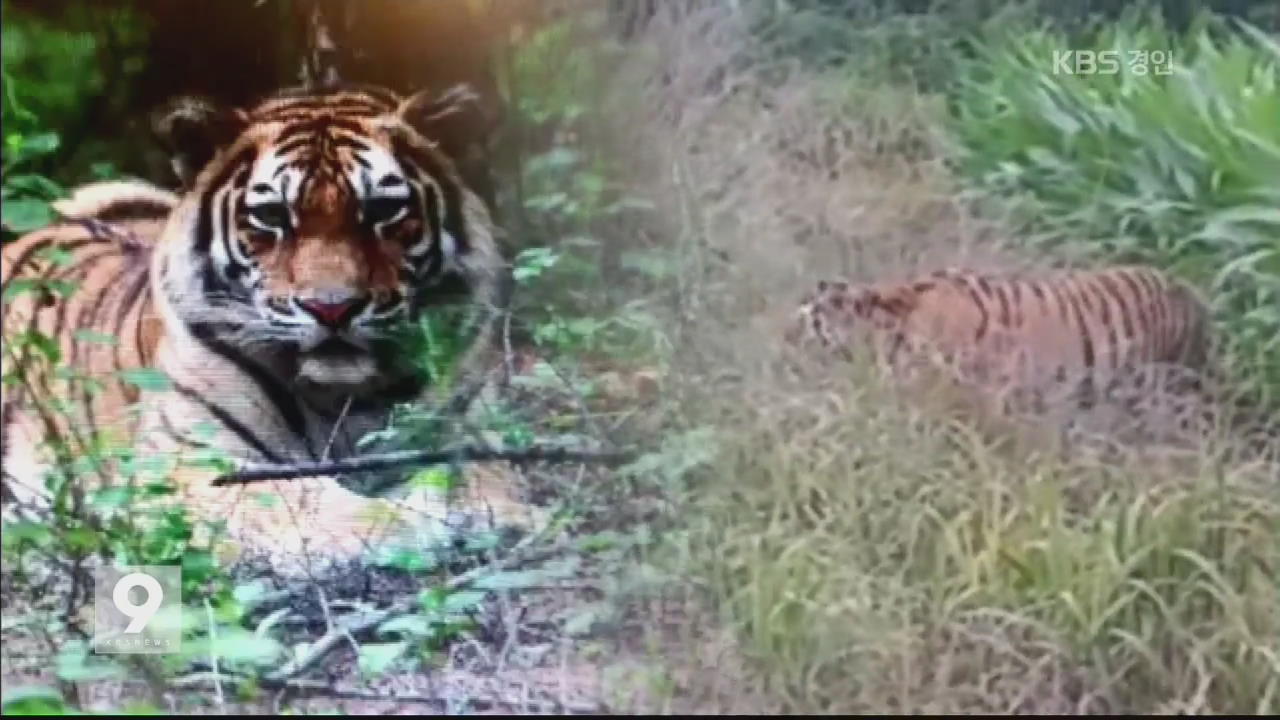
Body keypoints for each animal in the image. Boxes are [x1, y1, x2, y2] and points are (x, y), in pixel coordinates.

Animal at [0, 81, 540, 568]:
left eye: (384, 210)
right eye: (272, 216)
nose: (332, 308)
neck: (345, 398)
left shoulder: (470, 430)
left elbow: (479, 477)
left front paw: (498, 514)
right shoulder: (191, 465)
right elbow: (301, 501)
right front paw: (415, 525)